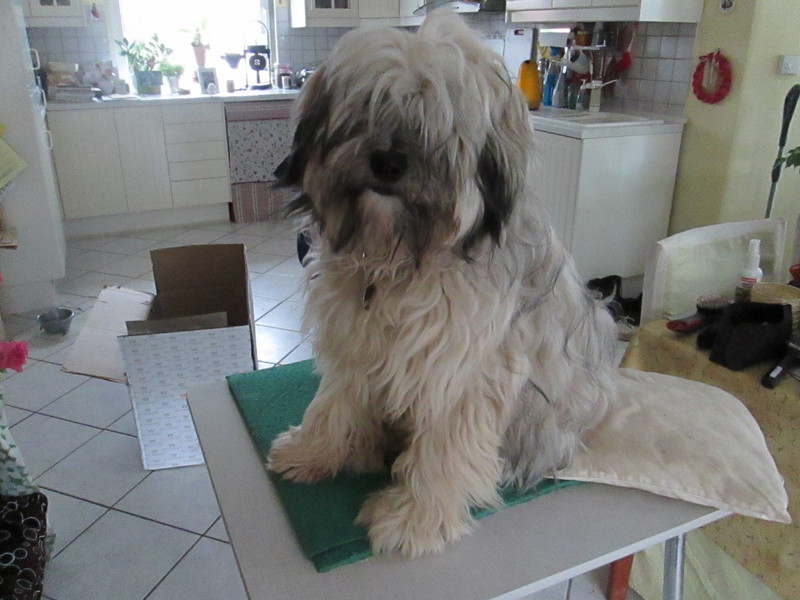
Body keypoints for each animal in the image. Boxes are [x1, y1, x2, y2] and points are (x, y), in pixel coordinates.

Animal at [268, 11, 617, 557]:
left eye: (440, 122)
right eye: (370, 104)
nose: (389, 162)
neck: (398, 260)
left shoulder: (462, 368)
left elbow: (446, 445)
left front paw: (415, 518)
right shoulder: (352, 342)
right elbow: (334, 401)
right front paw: (314, 451)